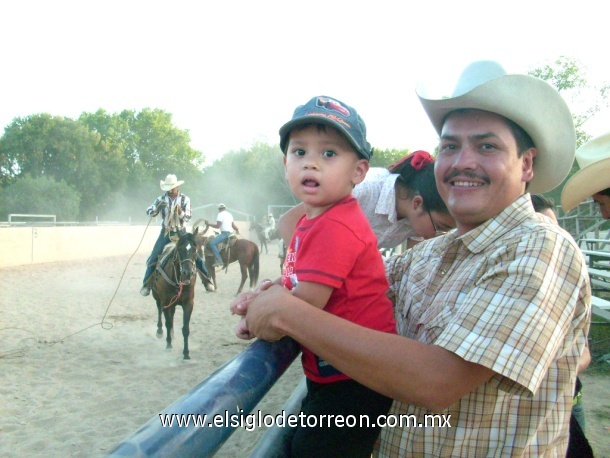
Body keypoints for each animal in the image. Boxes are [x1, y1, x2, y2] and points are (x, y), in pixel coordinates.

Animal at [150, 227, 202, 360]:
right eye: (180, 249)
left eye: (195, 249)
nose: (187, 273)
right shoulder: (165, 301)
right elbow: (168, 323)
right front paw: (168, 345)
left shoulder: (188, 304)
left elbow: (185, 328)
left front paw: (186, 353)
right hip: (157, 296)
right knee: (159, 310)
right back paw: (160, 331)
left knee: (171, 314)